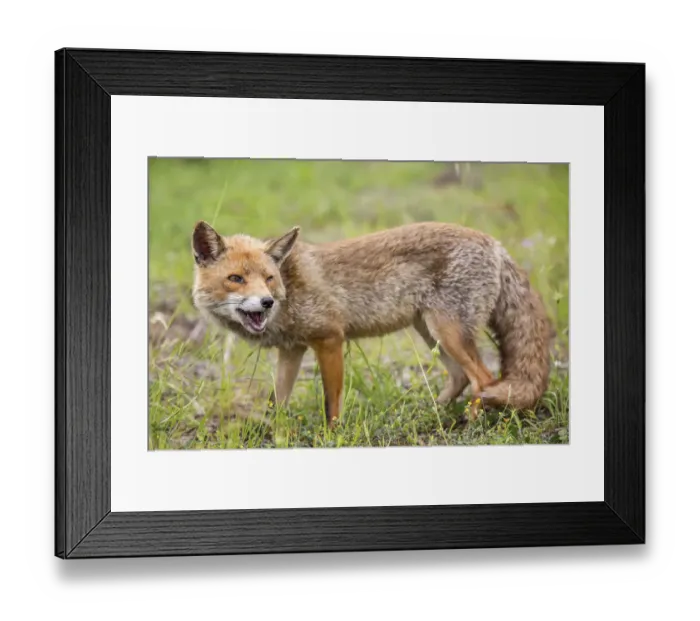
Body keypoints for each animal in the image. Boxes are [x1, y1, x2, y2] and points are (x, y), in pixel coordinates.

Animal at [191, 220, 551, 425]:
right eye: (236, 279)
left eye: (268, 278)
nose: (266, 301)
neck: (290, 288)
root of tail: (495, 243)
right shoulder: (292, 351)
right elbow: (276, 402)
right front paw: (276, 435)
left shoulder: (330, 339)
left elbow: (332, 404)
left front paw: (331, 438)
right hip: (430, 331)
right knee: (463, 377)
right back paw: (431, 412)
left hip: (447, 332)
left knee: (484, 379)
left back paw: (473, 423)